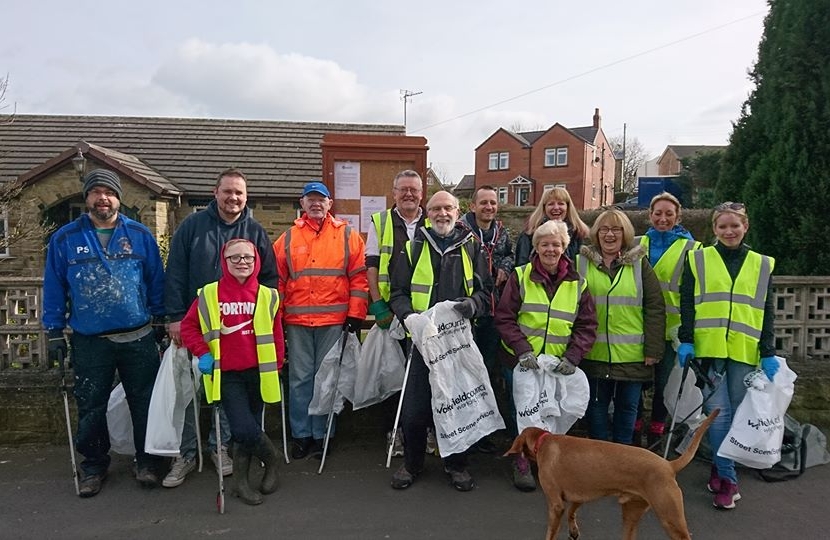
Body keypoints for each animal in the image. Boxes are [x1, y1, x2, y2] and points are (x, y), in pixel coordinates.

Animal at [508, 410, 720, 540]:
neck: (544, 441)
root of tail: (669, 465)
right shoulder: (580, 495)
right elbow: (572, 511)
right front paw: (574, 531)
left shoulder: (555, 504)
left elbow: (552, 531)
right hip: (631, 514)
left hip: (671, 519)